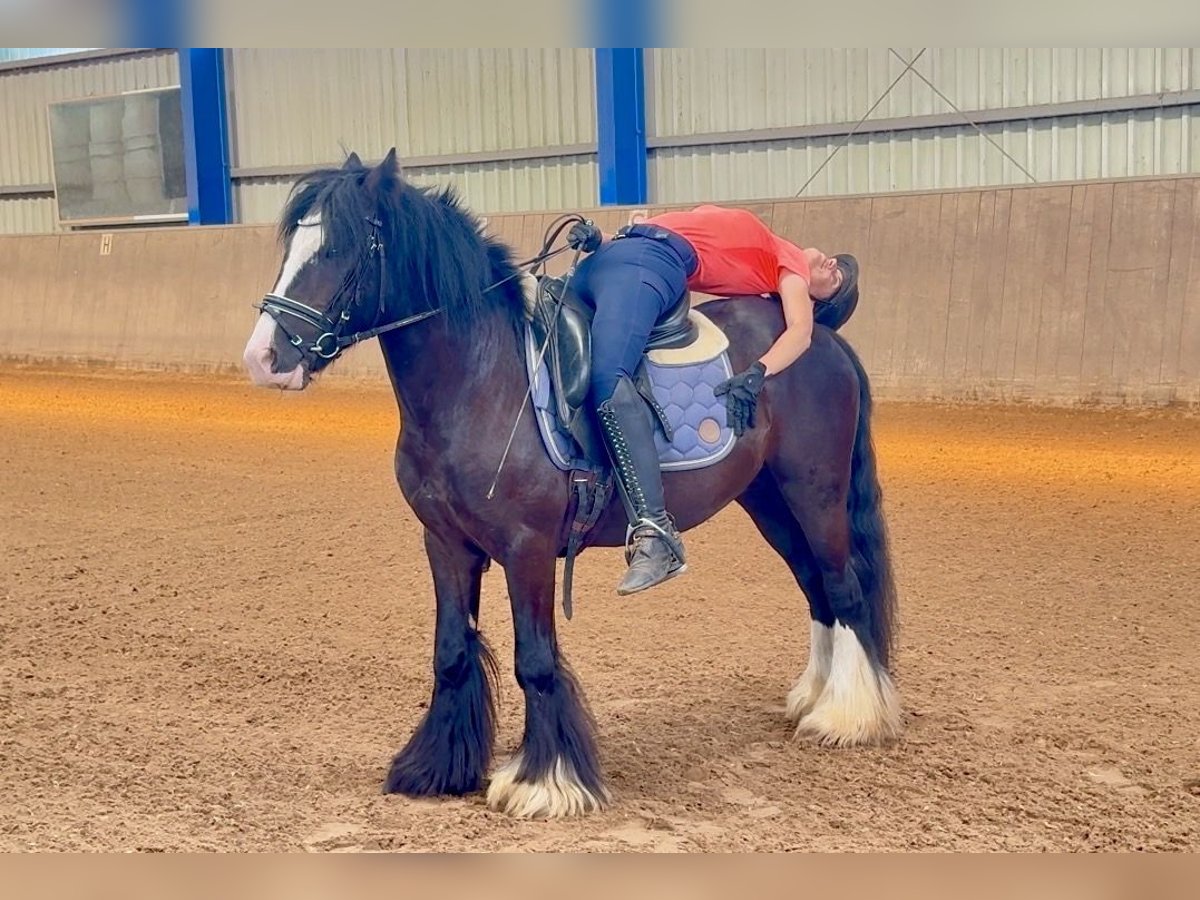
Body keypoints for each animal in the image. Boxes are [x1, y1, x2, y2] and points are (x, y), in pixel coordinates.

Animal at [241, 148, 901, 819]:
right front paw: (436, 766)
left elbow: (535, 659)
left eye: (337, 249)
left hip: (815, 494)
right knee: (815, 586)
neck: (481, 381)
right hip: (767, 500)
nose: (264, 358)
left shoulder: (527, 548)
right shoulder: (446, 543)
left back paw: (847, 717)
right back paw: (814, 699)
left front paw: (544, 782)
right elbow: (451, 652)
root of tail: (824, 337)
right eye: (294, 243)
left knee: (843, 587)